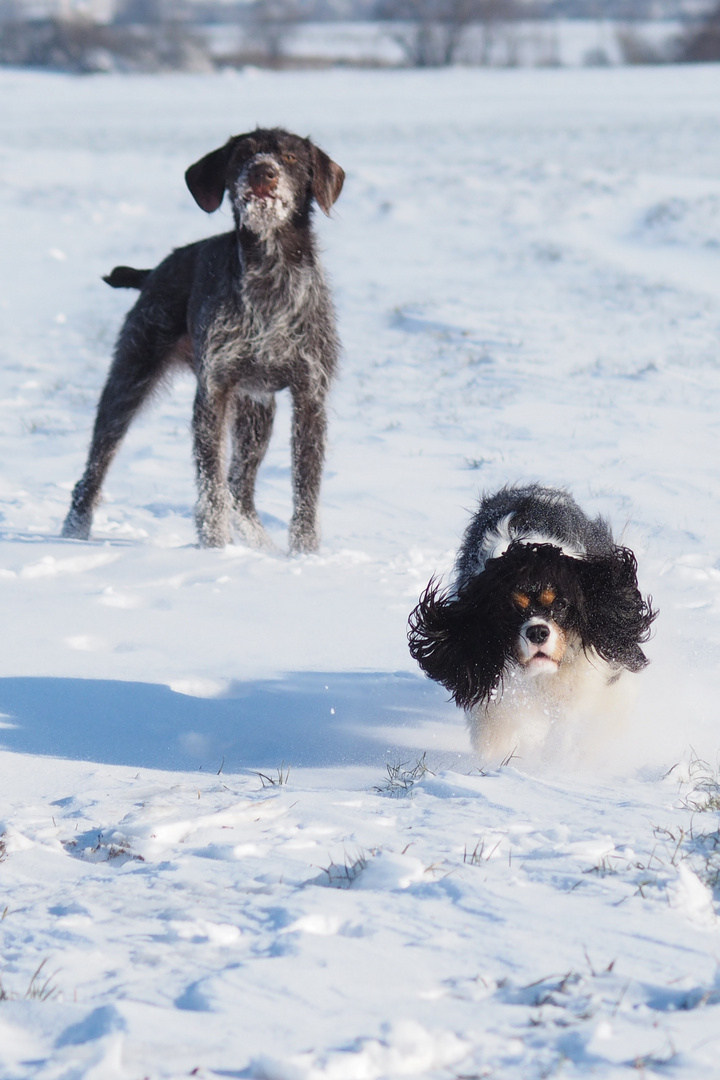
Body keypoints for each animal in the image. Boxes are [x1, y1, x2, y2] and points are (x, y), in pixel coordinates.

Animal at [61, 127, 343, 552]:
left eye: (291, 158)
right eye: (242, 155)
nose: (263, 171)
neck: (270, 275)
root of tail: (153, 271)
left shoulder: (309, 397)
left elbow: (305, 490)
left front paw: (304, 556)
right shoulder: (214, 392)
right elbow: (210, 485)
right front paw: (215, 549)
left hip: (256, 411)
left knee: (239, 489)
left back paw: (262, 547)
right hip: (129, 383)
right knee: (93, 471)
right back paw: (72, 535)